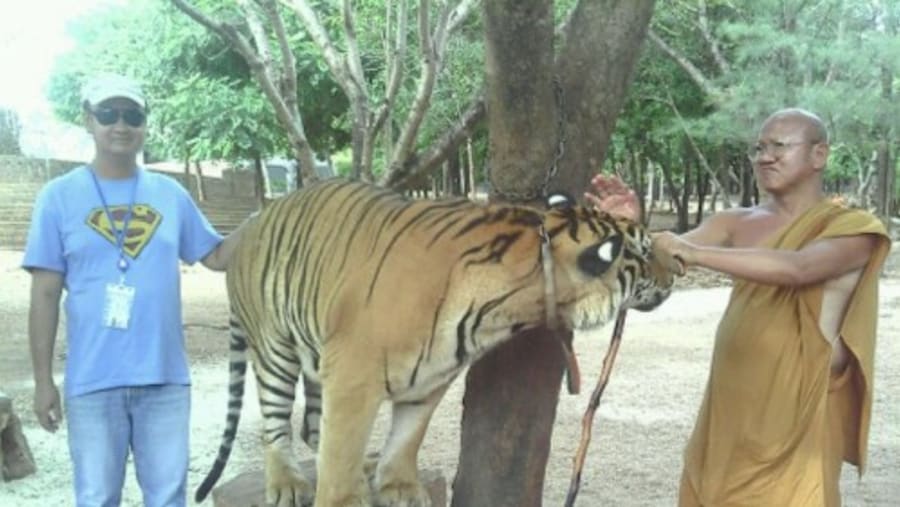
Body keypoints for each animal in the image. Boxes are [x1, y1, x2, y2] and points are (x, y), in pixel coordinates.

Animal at [194, 178, 681, 507]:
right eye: (644, 251)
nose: (678, 266)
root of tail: (250, 223)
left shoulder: (430, 376)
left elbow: (407, 436)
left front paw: (398, 486)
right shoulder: (354, 375)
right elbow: (341, 449)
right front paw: (342, 497)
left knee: (313, 425)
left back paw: (360, 463)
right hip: (274, 346)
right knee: (277, 422)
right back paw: (288, 482)